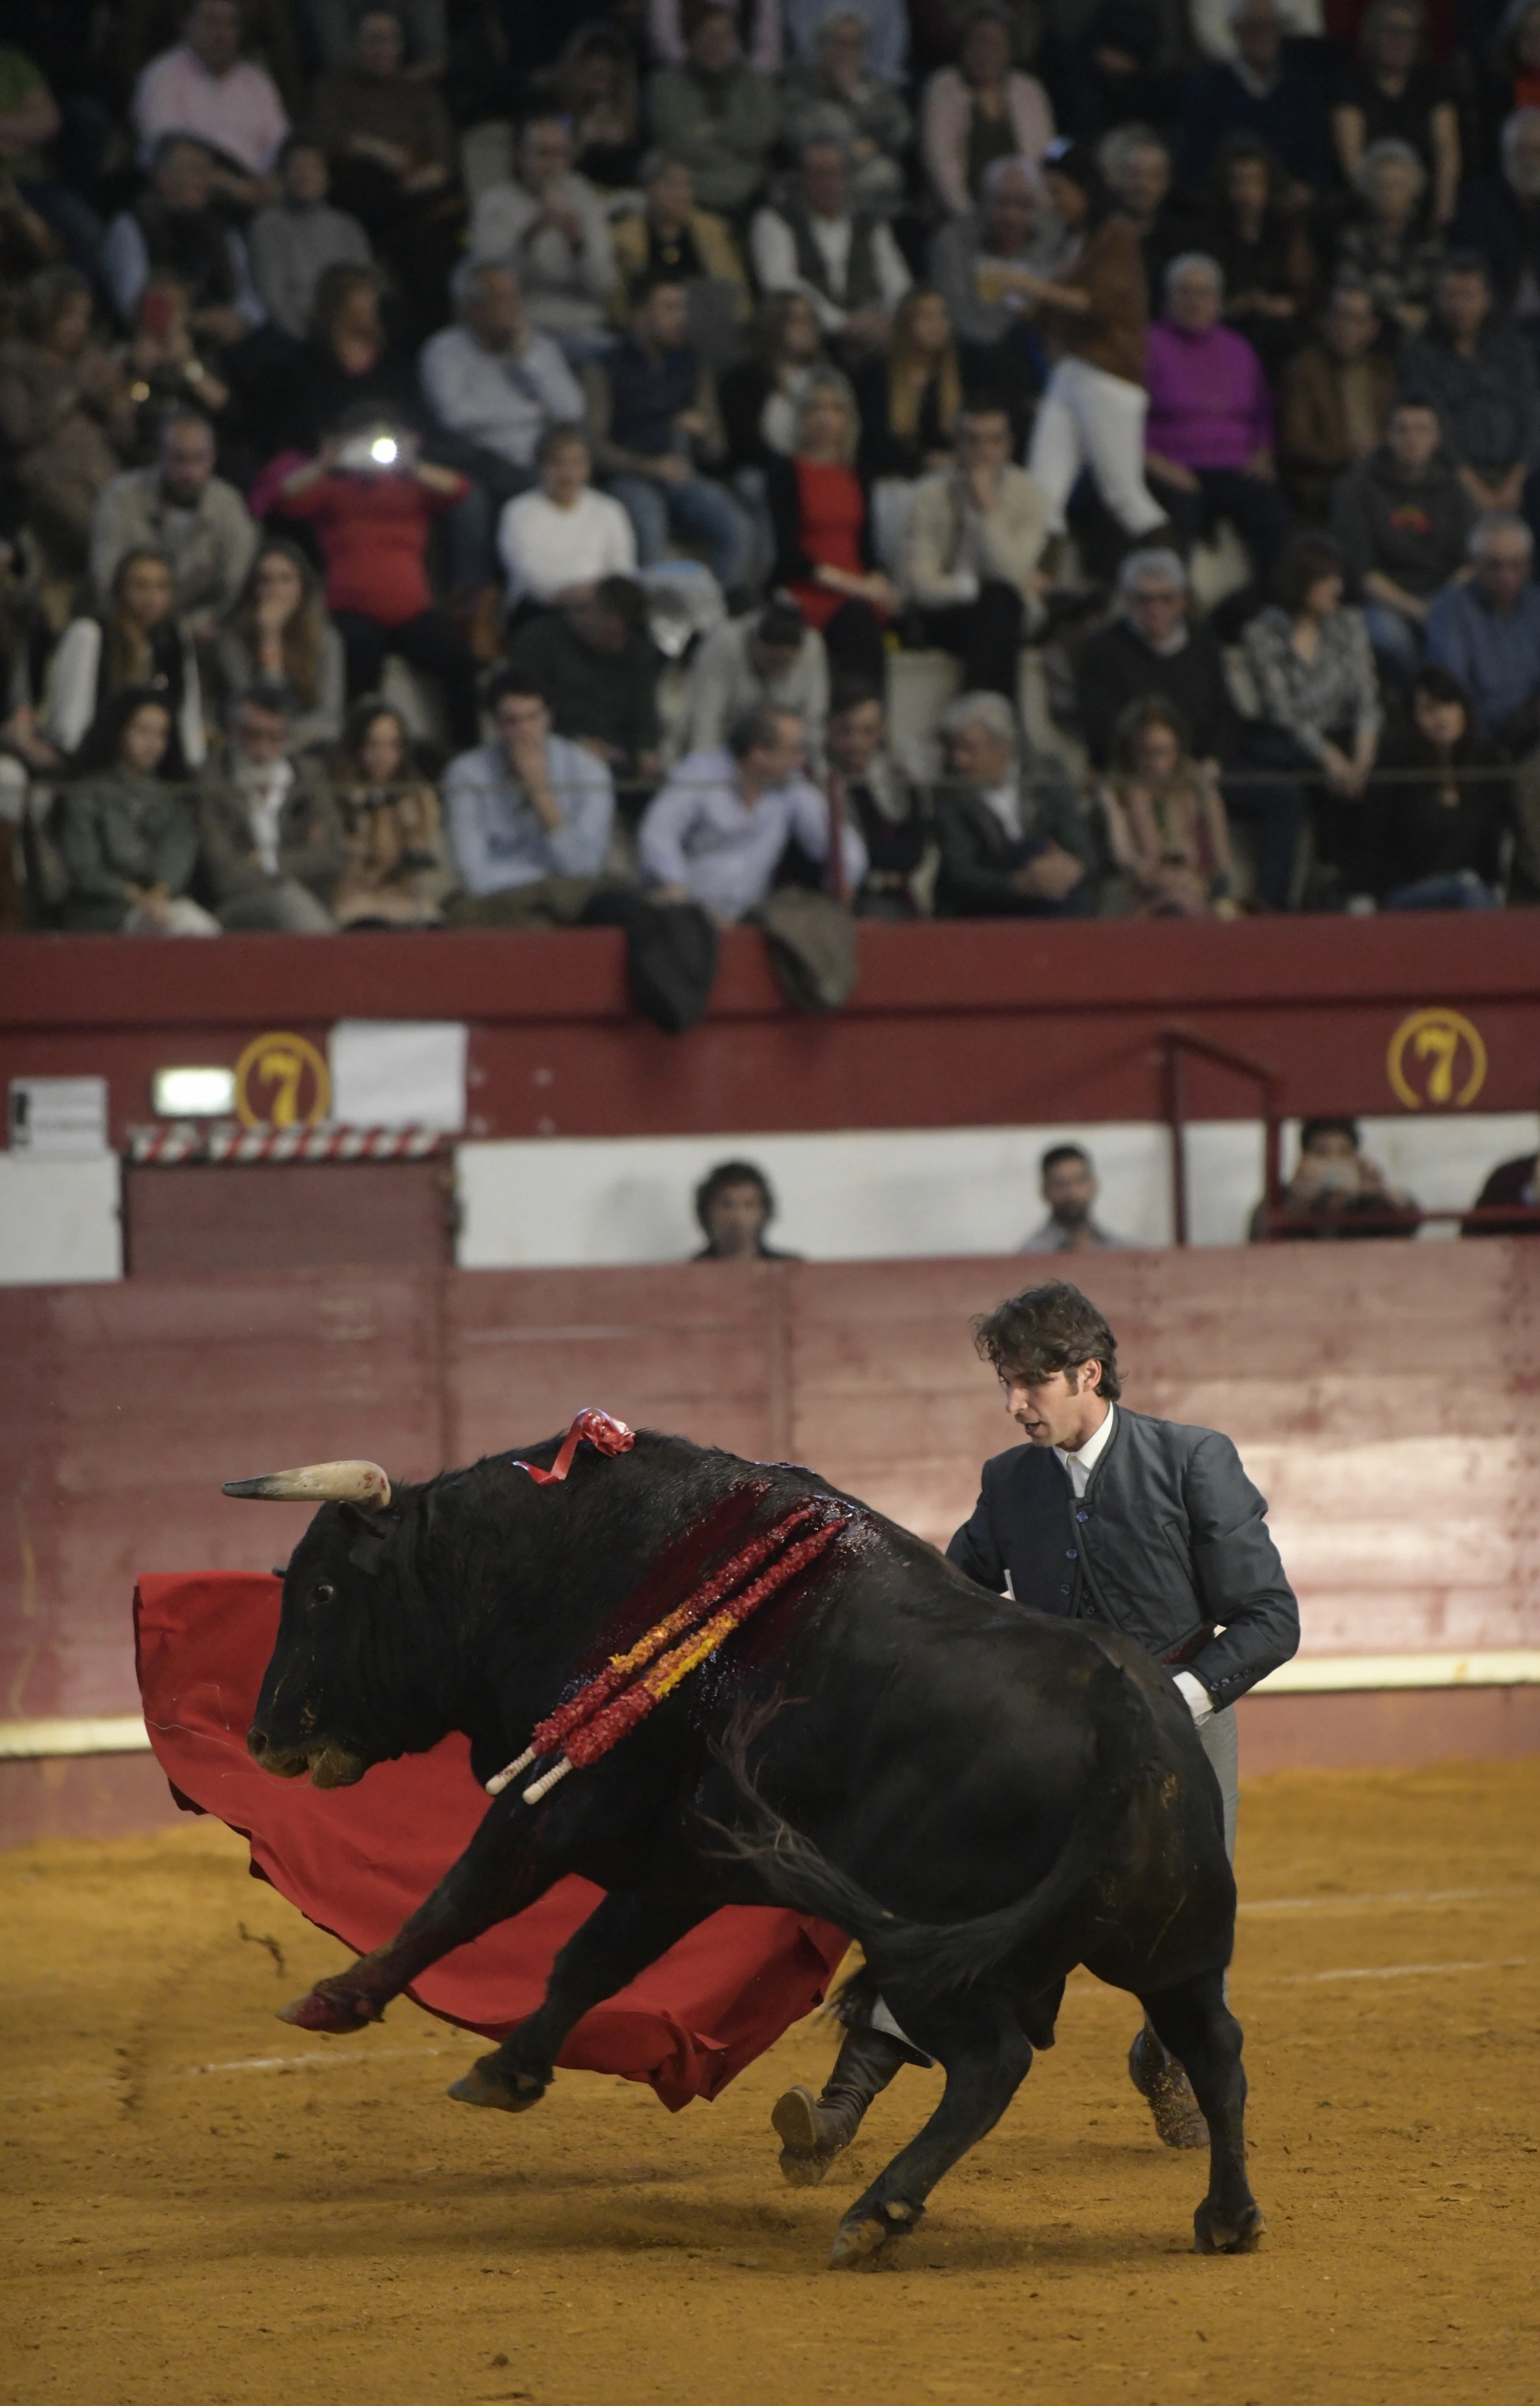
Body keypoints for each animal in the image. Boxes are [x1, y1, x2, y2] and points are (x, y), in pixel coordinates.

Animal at [242, 1424, 1261, 2271]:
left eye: (324, 1591)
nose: (260, 1737)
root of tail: (1125, 1709)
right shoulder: (680, 1862)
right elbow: (590, 1959)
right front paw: (509, 2067)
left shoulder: (569, 1803)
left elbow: (467, 1896)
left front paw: (336, 1998)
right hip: (1171, 1949)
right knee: (1213, 2048)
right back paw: (1226, 2217)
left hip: (943, 1960)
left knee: (991, 2064)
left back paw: (877, 2214)